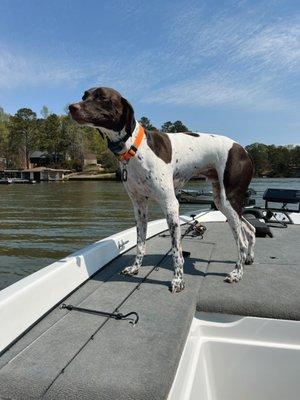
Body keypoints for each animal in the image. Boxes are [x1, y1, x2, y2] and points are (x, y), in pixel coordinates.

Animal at [69, 87, 254, 292]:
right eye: (84, 95)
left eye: (101, 97)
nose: (71, 107)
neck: (135, 147)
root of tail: (244, 150)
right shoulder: (139, 206)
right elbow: (140, 243)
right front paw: (135, 268)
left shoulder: (170, 204)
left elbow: (176, 250)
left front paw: (178, 280)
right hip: (223, 202)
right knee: (251, 229)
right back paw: (248, 258)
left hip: (229, 199)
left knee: (241, 241)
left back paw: (237, 273)